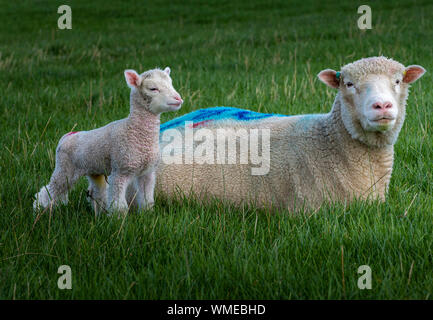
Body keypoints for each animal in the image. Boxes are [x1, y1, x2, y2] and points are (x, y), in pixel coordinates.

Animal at [33, 66, 182, 214]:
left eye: (171, 83)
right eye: (153, 89)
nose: (179, 99)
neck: (135, 131)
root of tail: (69, 135)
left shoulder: (147, 172)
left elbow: (147, 199)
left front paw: (146, 214)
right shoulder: (120, 170)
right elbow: (119, 204)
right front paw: (118, 218)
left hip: (93, 168)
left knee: (96, 190)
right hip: (65, 168)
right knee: (50, 189)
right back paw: (39, 208)